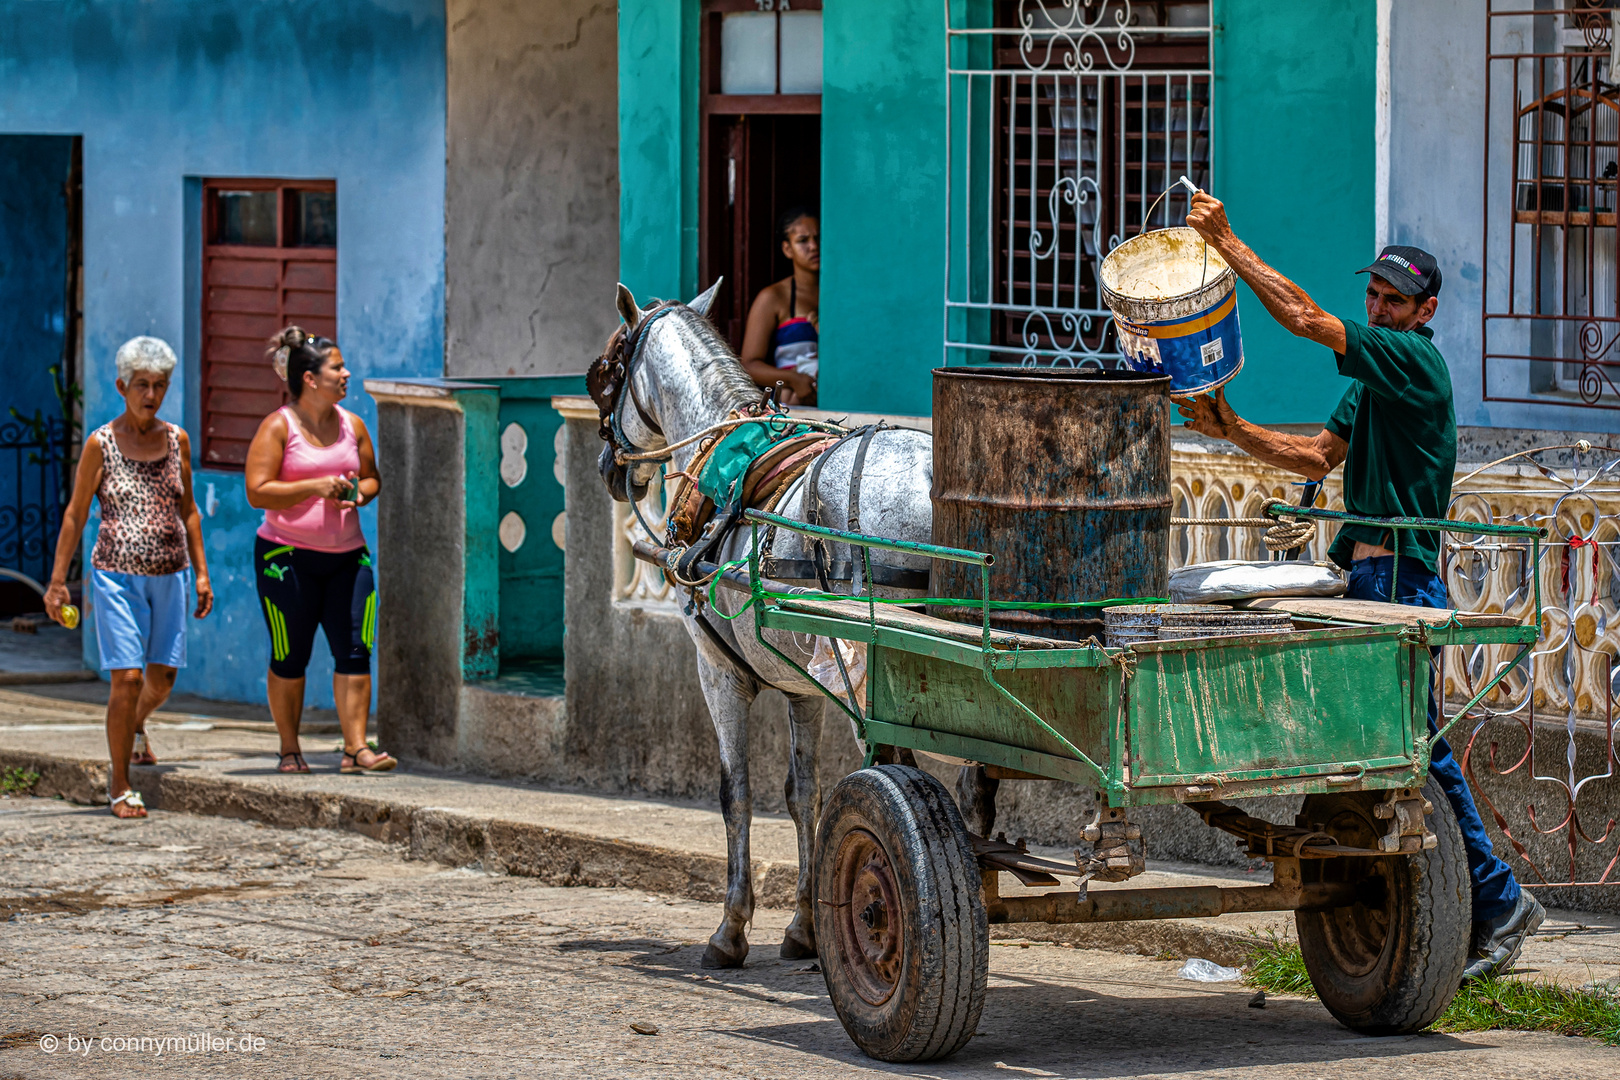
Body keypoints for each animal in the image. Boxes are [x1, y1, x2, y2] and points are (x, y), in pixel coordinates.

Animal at [586, 283, 939, 965]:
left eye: (604, 374)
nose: (608, 467)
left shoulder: (718, 671)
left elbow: (736, 793)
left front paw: (731, 928)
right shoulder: (808, 688)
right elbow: (804, 793)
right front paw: (803, 926)